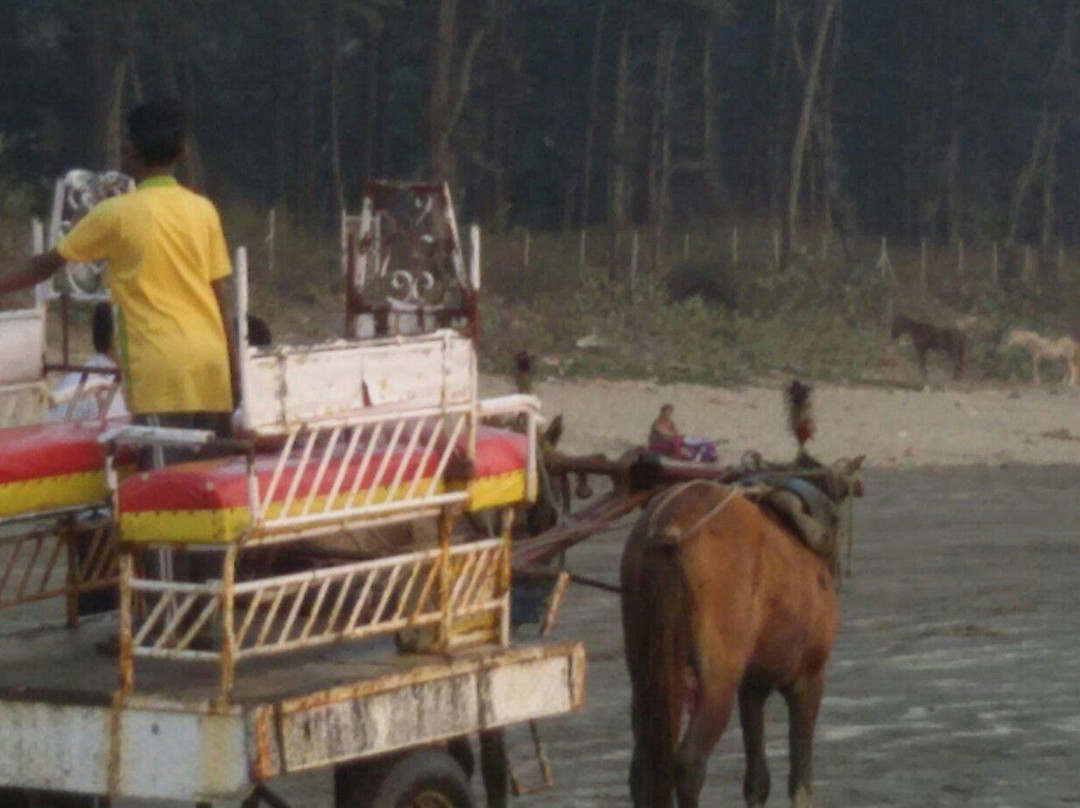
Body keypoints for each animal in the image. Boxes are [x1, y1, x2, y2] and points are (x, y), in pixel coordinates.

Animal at [626, 460, 859, 808]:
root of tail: (669, 529)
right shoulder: (809, 678)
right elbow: (801, 781)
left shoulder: (752, 686)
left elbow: (757, 780)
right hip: (716, 683)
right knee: (689, 763)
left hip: (649, 677)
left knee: (643, 766)